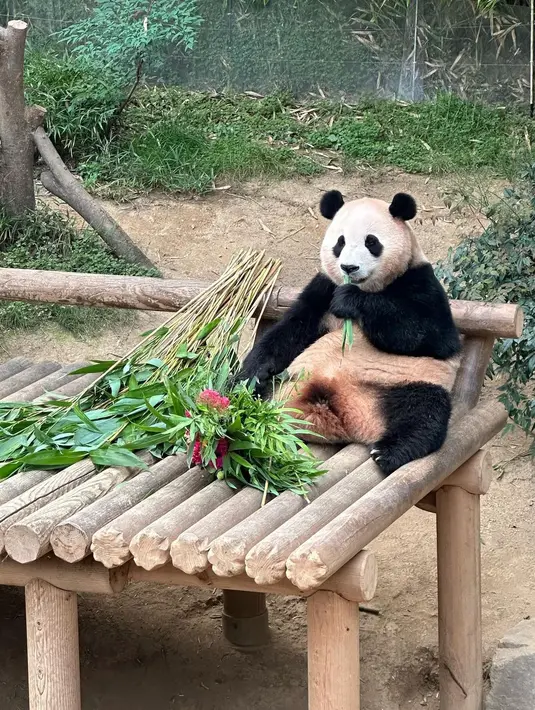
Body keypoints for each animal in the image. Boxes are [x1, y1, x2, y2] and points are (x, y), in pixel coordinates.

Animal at [237, 190, 462, 475]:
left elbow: (430, 336)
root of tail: (342, 419)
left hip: (409, 382)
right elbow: (291, 330)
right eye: (340, 242)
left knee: (424, 413)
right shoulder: (322, 288)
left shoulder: (421, 282)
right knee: (259, 394)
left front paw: (351, 301)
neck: (370, 287)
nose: (349, 268)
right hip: (286, 381)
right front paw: (250, 373)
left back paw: (389, 452)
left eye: (371, 242)